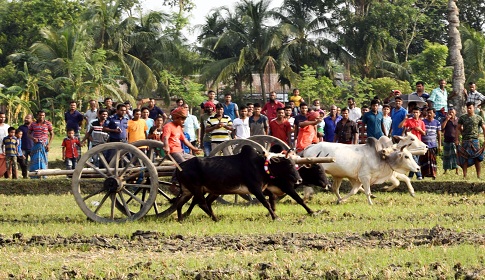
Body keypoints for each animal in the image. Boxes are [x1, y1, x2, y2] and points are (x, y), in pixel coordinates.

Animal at [174, 144, 328, 221]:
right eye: (288, 164)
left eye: (293, 163)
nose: (299, 179)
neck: (262, 166)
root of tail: (180, 167)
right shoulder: (257, 189)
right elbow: (270, 203)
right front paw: (276, 217)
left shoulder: (269, 190)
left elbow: (272, 203)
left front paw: (272, 215)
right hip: (197, 188)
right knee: (201, 203)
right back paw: (214, 219)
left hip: (200, 191)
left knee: (182, 203)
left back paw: (181, 218)